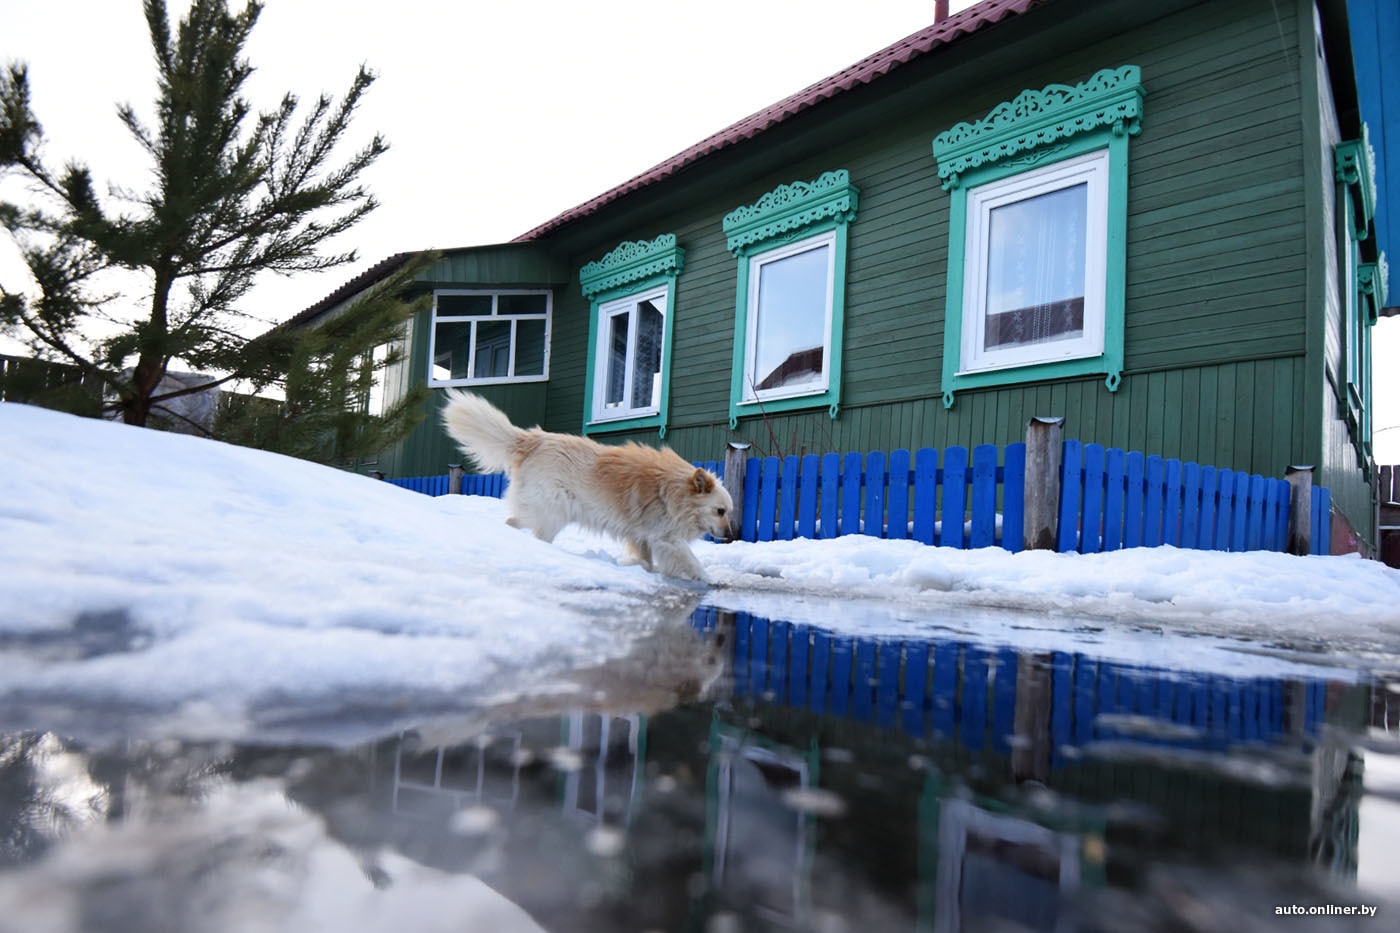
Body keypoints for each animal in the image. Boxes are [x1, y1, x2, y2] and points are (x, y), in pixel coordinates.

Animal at [442, 386, 733, 577]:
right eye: (719, 511)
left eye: (728, 512)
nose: (730, 537)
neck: (674, 491)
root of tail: (533, 439)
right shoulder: (667, 539)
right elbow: (692, 563)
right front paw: (709, 581)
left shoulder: (643, 537)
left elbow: (647, 561)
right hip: (550, 514)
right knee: (518, 525)